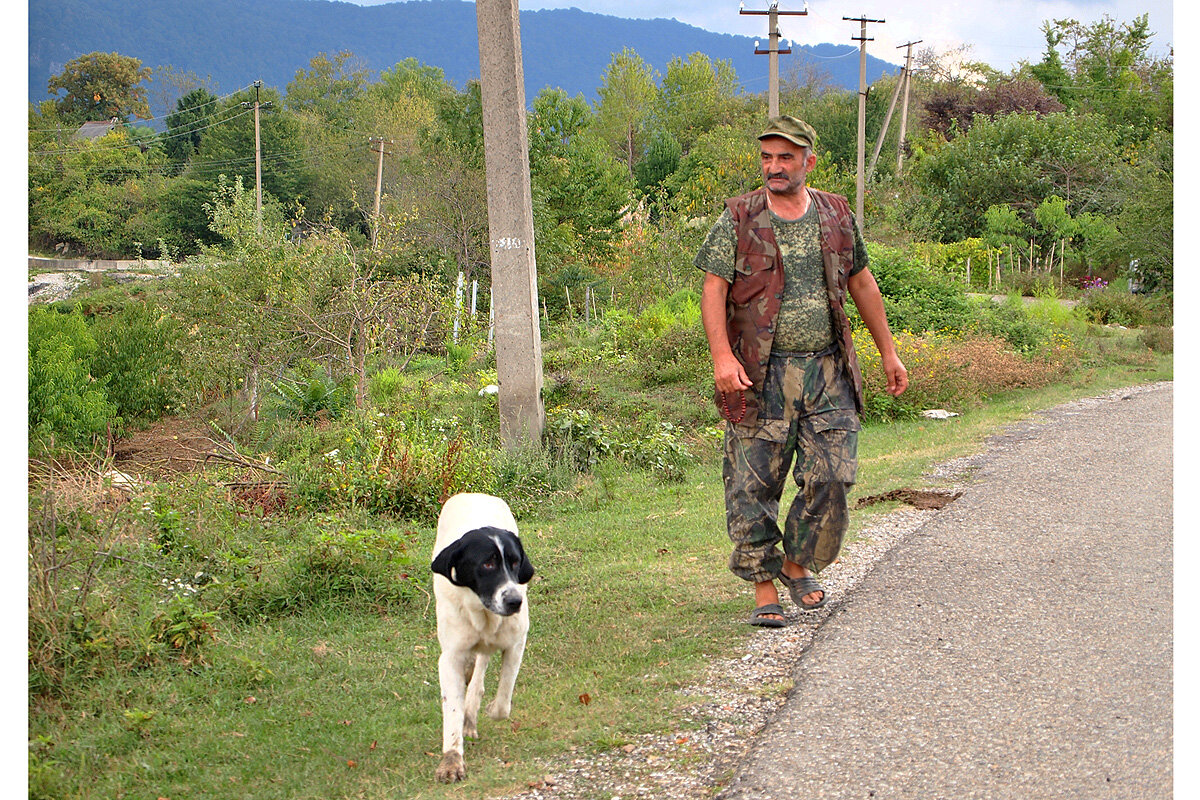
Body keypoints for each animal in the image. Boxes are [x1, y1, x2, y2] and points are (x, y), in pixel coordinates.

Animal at [427, 491, 530, 786]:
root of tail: (474, 493)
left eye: (515, 562)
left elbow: (503, 702)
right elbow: (451, 711)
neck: (483, 613)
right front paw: (451, 761)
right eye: (487, 563)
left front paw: (485, 710)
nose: (515, 601)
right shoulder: (450, 657)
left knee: (481, 670)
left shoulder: (517, 642)